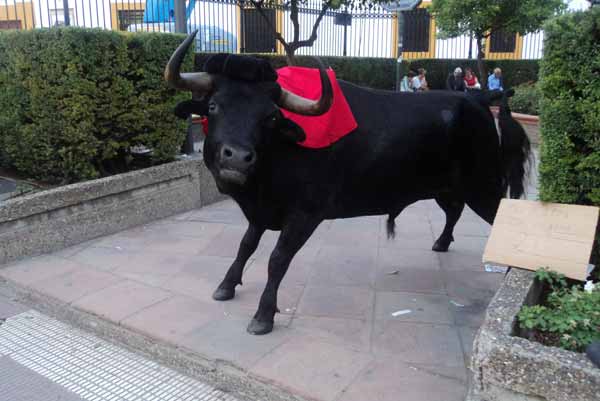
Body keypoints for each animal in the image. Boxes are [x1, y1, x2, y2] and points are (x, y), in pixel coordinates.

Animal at [165, 32, 528, 336]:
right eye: (214, 105)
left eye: (270, 116)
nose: (238, 158)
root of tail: (479, 99)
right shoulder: (263, 210)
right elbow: (246, 245)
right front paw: (226, 285)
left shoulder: (305, 214)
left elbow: (277, 259)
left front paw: (263, 315)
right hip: (448, 187)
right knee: (453, 211)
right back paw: (440, 242)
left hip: (484, 187)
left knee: (498, 219)